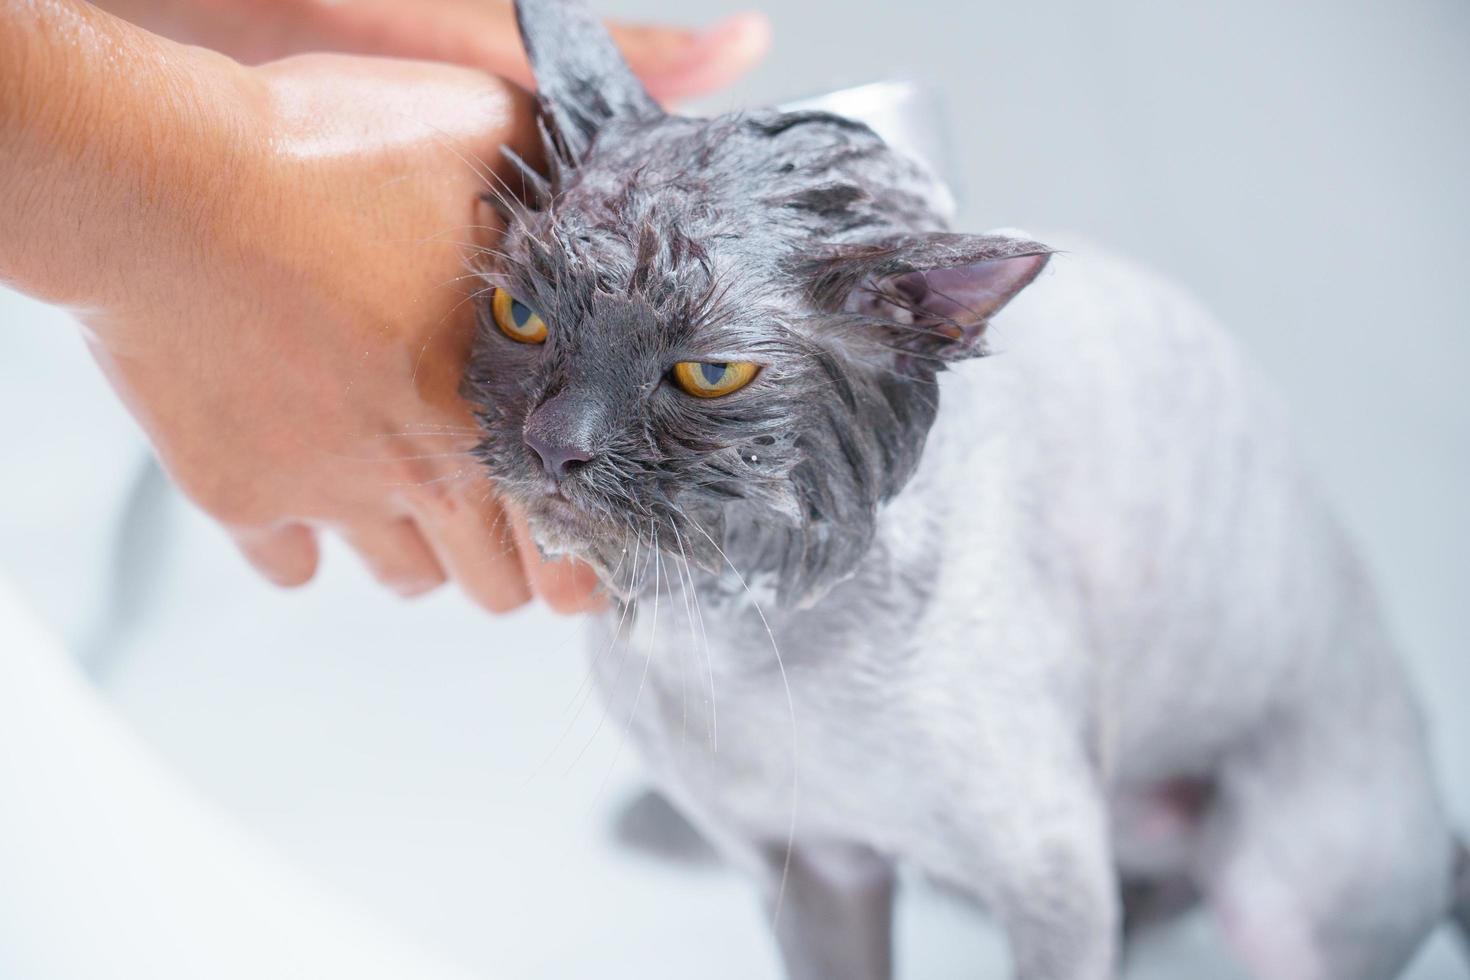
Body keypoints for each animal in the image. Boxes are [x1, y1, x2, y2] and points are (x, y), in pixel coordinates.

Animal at [461, 3, 1470, 975]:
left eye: (710, 374)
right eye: (521, 316)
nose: (554, 445)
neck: (732, 635)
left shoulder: (1054, 878)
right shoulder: (816, 870)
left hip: (1275, 895)